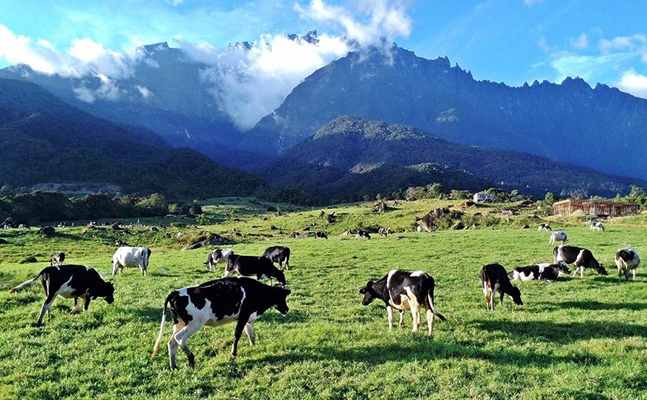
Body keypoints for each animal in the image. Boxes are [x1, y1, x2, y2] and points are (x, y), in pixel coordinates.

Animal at [152, 276, 292, 368]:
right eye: (282, 297)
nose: (287, 309)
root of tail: (176, 292)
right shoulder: (243, 316)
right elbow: (237, 335)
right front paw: (233, 354)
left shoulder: (247, 318)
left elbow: (250, 333)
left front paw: (254, 346)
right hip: (195, 323)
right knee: (179, 338)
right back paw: (191, 359)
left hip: (179, 323)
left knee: (171, 342)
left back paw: (173, 366)